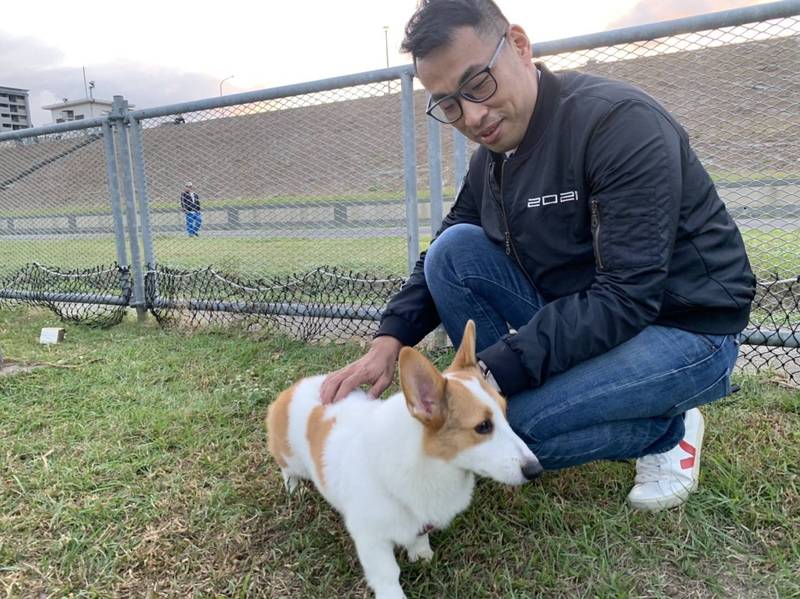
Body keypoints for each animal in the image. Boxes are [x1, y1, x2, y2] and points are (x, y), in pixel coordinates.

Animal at [266, 324, 540, 599]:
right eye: (483, 426)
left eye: (505, 413)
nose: (535, 469)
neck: (429, 462)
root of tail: (295, 387)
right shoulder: (371, 538)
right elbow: (387, 575)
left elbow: (418, 537)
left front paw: (421, 554)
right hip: (291, 458)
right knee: (287, 469)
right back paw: (294, 488)